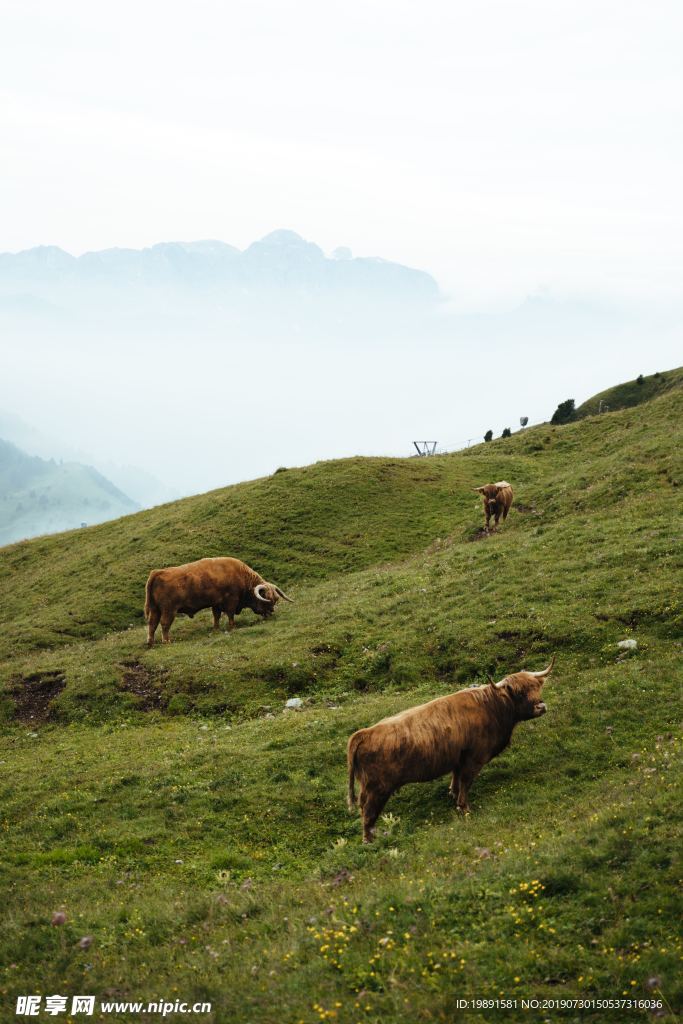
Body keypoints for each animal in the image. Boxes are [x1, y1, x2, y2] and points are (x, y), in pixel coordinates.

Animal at [143, 557, 292, 643]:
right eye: (267, 599)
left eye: (275, 599)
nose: (271, 613)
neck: (241, 576)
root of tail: (159, 572)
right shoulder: (231, 600)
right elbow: (230, 614)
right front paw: (232, 627)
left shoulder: (216, 603)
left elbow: (216, 616)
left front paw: (216, 629)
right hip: (169, 609)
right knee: (164, 623)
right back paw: (166, 641)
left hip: (155, 609)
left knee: (152, 624)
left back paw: (151, 642)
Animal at [348, 659, 557, 843]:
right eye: (520, 693)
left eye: (537, 687)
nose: (540, 706)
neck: (493, 707)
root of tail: (364, 733)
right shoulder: (474, 758)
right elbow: (466, 781)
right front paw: (464, 808)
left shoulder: (459, 757)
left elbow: (456, 780)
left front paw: (454, 797)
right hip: (377, 789)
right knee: (368, 812)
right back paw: (369, 840)